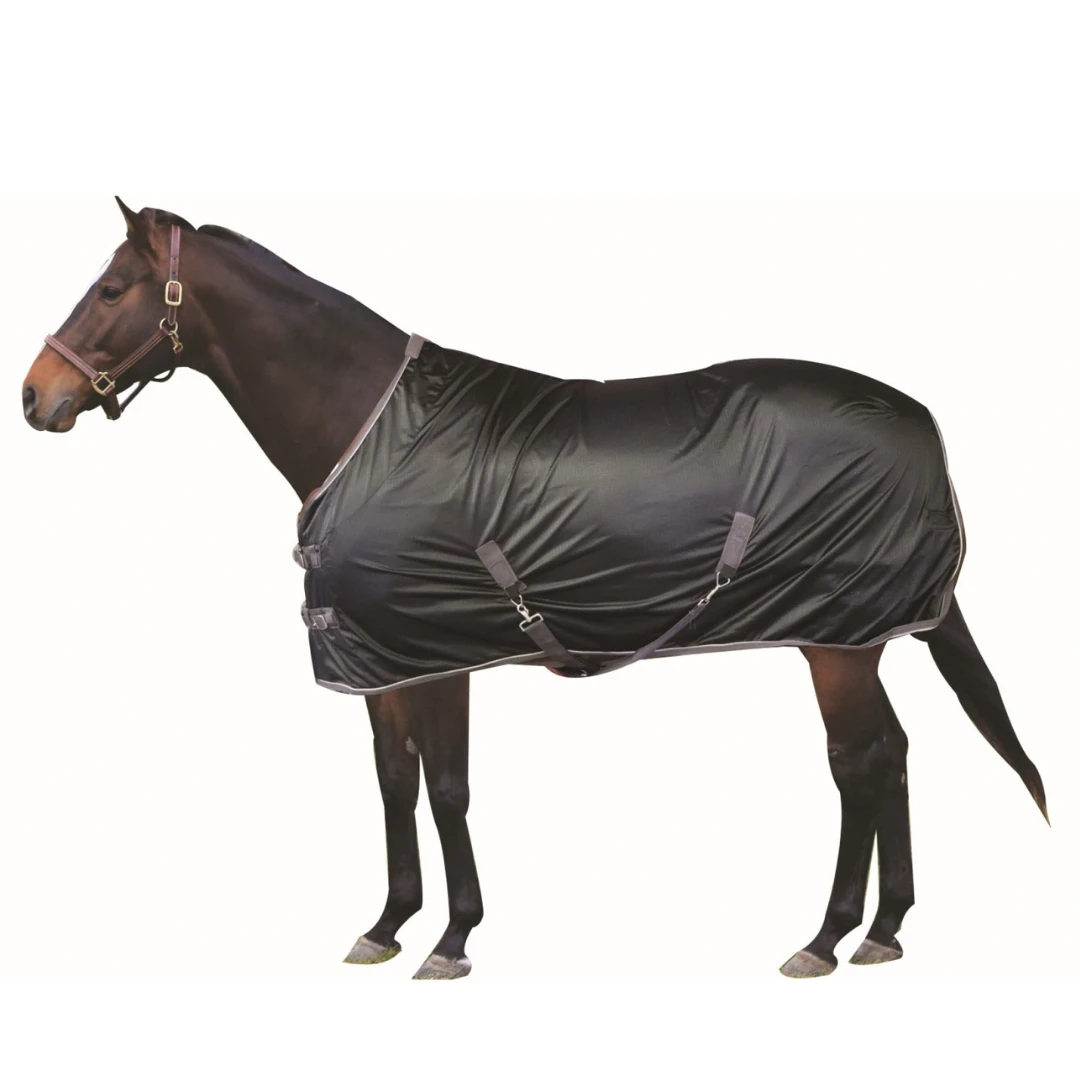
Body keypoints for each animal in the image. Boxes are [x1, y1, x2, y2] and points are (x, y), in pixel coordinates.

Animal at [21, 199, 1047, 980]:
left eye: (111, 289)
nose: (35, 397)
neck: (368, 427)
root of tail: (918, 421)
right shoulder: (382, 662)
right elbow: (394, 783)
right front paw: (386, 926)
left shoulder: (440, 657)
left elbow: (447, 789)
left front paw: (452, 939)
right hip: (852, 637)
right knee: (894, 755)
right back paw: (884, 931)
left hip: (837, 641)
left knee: (860, 765)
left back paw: (827, 938)